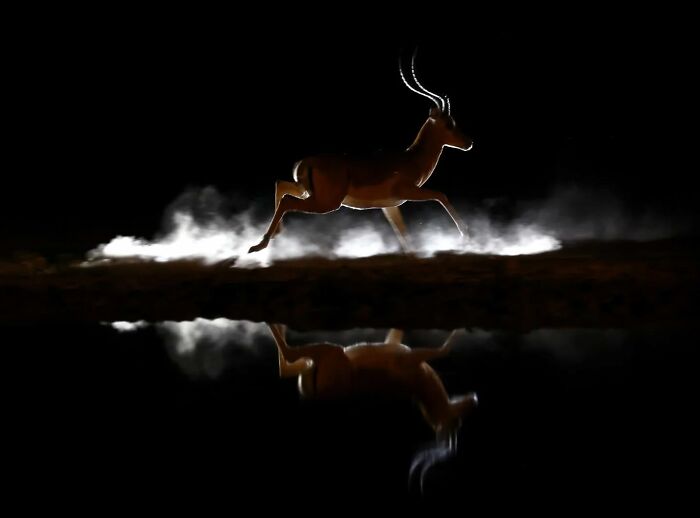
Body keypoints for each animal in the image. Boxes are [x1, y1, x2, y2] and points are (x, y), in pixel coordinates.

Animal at [248, 52, 473, 254]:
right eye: (449, 123)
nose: (469, 143)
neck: (412, 159)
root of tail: (305, 163)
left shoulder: (390, 205)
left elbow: (403, 234)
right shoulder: (407, 191)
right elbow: (440, 195)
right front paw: (466, 234)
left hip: (309, 193)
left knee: (281, 185)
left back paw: (272, 237)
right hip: (327, 203)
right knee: (287, 200)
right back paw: (259, 245)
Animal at [267, 323, 478, 490]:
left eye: (456, 423)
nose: (473, 398)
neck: (421, 385)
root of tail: (316, 394)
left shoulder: (412, 358)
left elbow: (444, 349)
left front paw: (461, 330)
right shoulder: (402, 349)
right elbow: (398, 333)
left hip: (332, 356)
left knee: (288, 358)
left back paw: (274, 325)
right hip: (315, 365)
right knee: (286, 366)